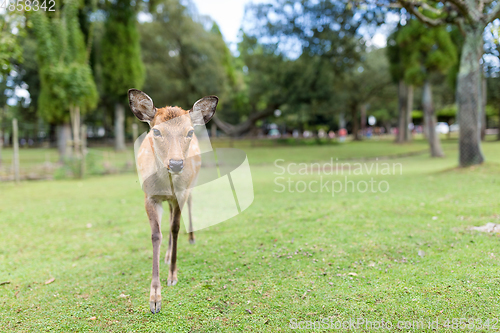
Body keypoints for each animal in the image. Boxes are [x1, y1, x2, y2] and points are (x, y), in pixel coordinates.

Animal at [127, 87, 217, 312]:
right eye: (156, 131)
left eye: (190, 132)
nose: (176, 163)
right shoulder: (150, 197)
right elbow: (155, 235)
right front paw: (154, 298)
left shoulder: (181, 193)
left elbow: (176, 228)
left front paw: (173, 276)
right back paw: (166, 256)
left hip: (191, 184)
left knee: (188, 207)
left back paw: (191, 237)